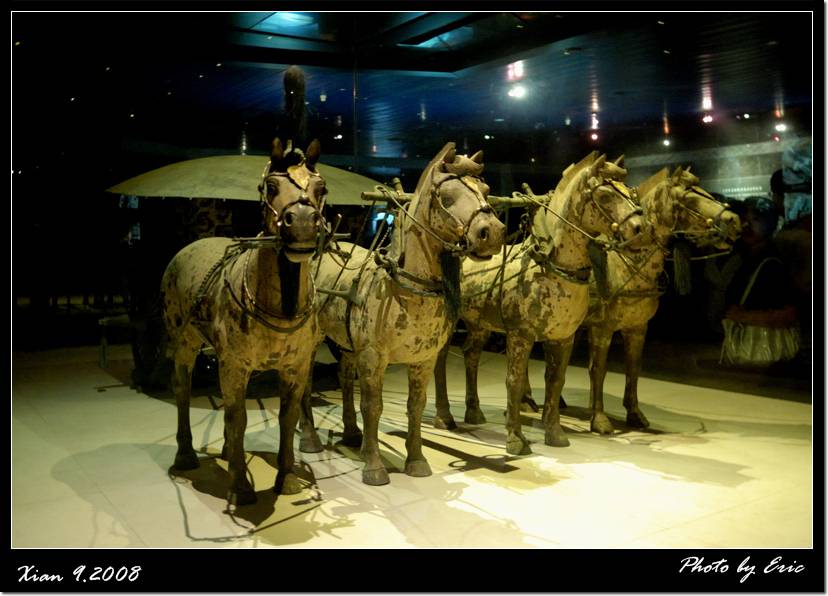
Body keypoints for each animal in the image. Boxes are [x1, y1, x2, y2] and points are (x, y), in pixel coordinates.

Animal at [162, 138, 328, 506]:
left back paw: (226, 452)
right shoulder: (234, 365)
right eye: (272, 186)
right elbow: (237, 418)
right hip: (185, 342)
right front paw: (240, 486)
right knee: (183, 390)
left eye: (320, 188)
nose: (303, 223)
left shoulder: (294, 368)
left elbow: (286, 417)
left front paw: (287, 478)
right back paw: (186, 455)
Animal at [299, 142, 505, 485]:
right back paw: (310, 438)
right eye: (447, 196)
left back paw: (351, 433)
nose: (492, 232)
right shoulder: (373, 358)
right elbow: (373, 406)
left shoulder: (422, 360)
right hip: (313, 341)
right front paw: (374, 466)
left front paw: (417, 461)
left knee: (344, 377)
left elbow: (416, 406)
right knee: (305, 382)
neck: (404, 288)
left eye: (486, 190)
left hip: (348, 346)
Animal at [432, 152, 645, 455]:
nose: (640, 229)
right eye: (604, 195)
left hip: (479, 323)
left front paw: (555, 433)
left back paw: (473, 411)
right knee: (439, 361)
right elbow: (514, 380)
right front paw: (515, 438)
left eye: (630, 192)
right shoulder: (520, 336)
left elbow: (555, 380)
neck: (549, 267)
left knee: (471, 354)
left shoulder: (563, 338)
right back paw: (444, 415)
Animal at [566, 165, 741, 434]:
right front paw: (600, 418)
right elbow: (598, 369)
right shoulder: (602, 328)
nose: (734, 221)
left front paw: (635, 414)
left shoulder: (638, 328)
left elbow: (633, 368)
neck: (624, 263)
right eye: (689, 198)